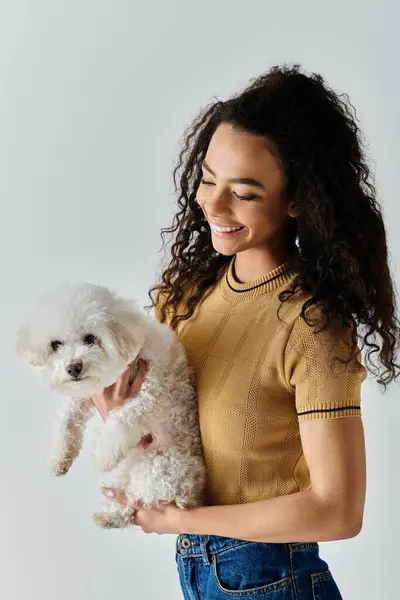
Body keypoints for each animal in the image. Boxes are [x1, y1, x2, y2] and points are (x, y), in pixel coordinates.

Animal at [14, 282, 206, 524]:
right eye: (55, 345)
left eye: (90, 338)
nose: (73, 368)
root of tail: (192, 491)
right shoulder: (86, 394)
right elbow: (65, 419)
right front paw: (59, 457)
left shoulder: (152, 392)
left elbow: (122, 418)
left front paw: (103, 456)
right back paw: (108, 516)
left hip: (159, 469)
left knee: (141, 499)